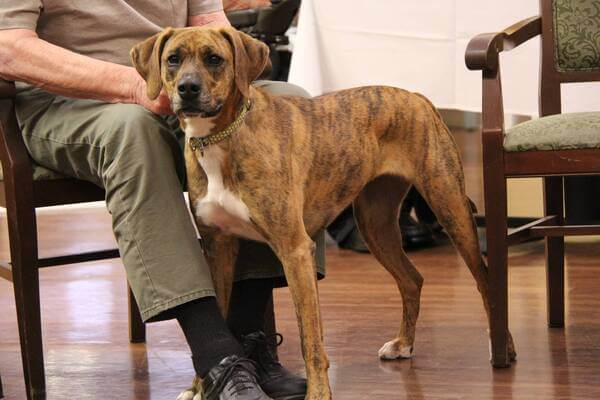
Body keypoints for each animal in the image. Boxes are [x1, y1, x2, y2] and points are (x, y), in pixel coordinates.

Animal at [131, 27, 516, 400]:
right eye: (173, 59)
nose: (188, 89)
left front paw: (318, 392)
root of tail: (417, 97)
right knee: (412, 280)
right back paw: (404, 344)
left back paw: (503, 348)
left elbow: (310, 339)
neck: (222, 137)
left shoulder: (295, 251)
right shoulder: (219, 250)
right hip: (376, 224)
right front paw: (199, 387)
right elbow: (219, 315)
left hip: (450, 207)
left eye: (214, 59)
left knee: (485, 281)